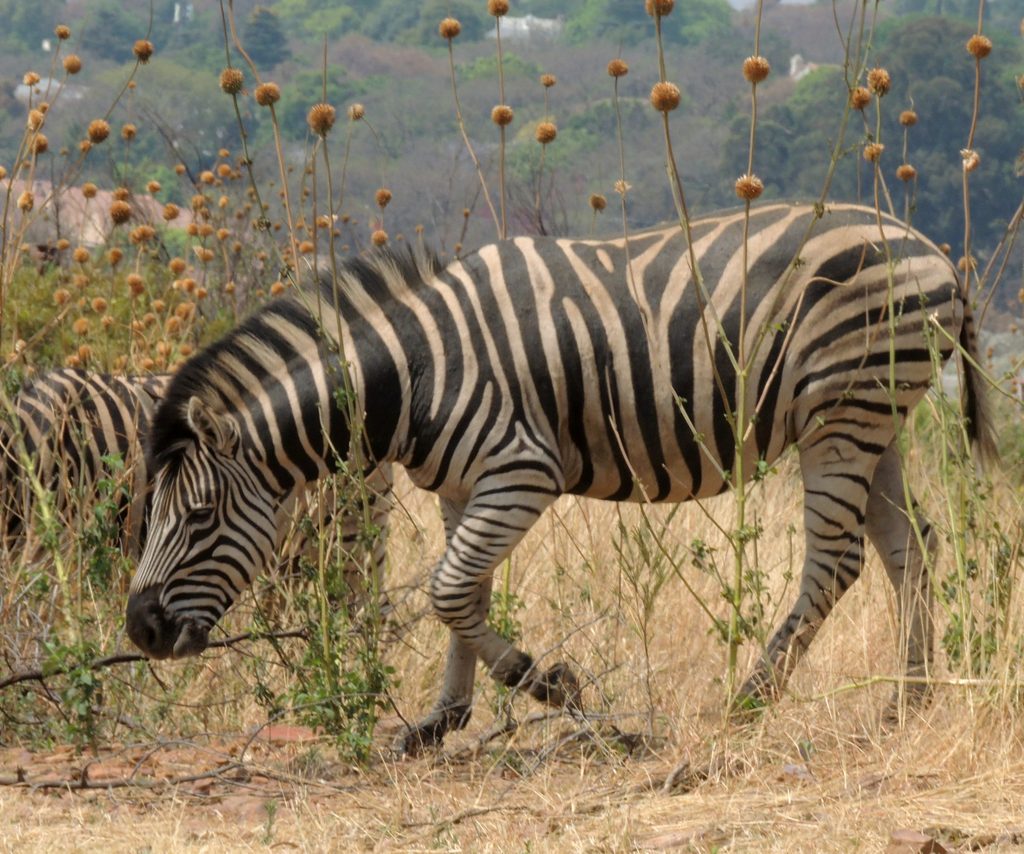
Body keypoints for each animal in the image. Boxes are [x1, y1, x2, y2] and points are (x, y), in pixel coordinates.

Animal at [124, 201, 994, 754]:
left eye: (197, 517)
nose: (140, 631)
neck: (412, 375)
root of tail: (931, 247)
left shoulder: (521, 470)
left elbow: (447, 591)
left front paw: (550, 685)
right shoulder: (460, 489)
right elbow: (463, 595)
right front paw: (440, 721)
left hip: (844, 410)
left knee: (836, 559)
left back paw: (751, 698)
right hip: (872, 415)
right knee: (912, 545)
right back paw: (909, 701)